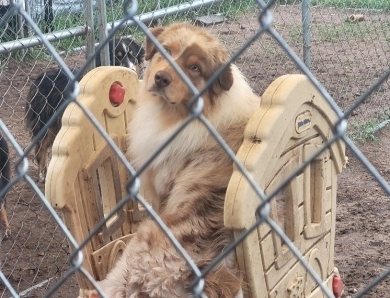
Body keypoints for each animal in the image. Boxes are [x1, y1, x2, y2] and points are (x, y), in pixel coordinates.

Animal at [25, 37, 145, 182]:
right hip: (45, 123)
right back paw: (42, 176)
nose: (132, 70)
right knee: (40, 148)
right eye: (117, 56)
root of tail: (39, 77)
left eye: (132, 55)